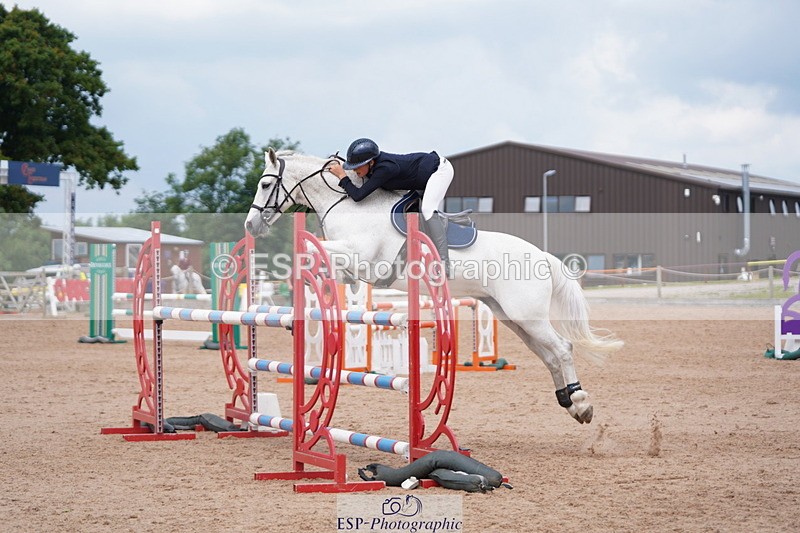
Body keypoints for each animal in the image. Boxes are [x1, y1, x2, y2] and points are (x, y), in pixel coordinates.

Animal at [245, 148, 622, 424]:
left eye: (264, 185)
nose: (250, 225)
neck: (350, 203)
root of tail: (543, 255)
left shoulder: (362, 256)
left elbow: (312, 253)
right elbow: (318, 260)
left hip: (527, 315)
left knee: (562, 349)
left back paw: (581, 403)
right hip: (510, 316)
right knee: (548, 355)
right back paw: (568, 402)